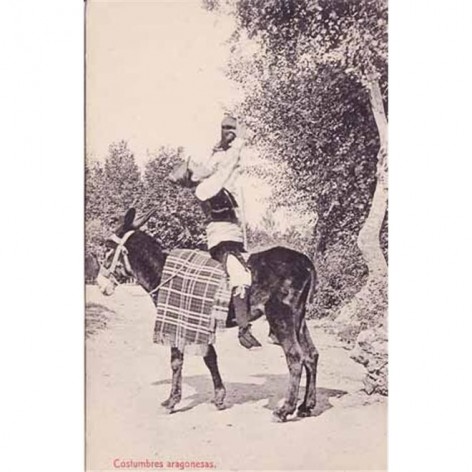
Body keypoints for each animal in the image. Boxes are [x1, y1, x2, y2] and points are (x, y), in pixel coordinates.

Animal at [97, 208, 319, 422]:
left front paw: (171, 401)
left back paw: (284, 410)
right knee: (311, 355)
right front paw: (219, 397)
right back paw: (306, 406)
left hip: (281, 317)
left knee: (295, 358)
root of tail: (306, 262)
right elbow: (210, 357)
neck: (163, 272)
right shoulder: (198, 324)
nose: (100, 284)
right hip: (299, 319)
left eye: (107, 249)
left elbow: (177, 361)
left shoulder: (177, 322)